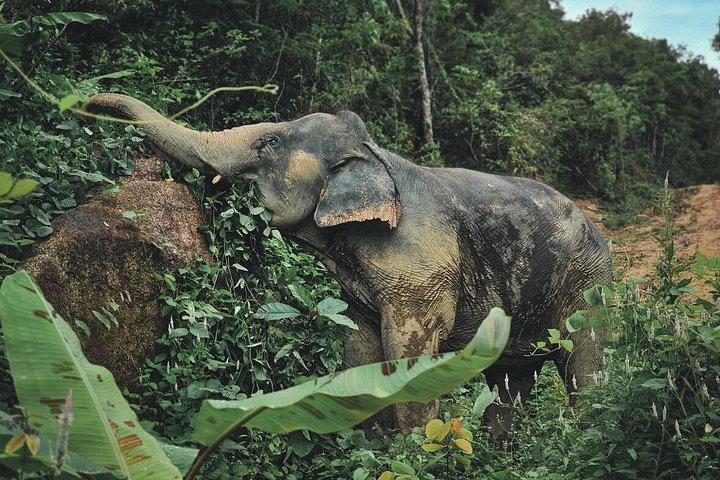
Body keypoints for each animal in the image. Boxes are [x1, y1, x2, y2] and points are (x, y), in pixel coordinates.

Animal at [85, 94, 613, 434]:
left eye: (268, 145)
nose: (88, 100)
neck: (374, 155)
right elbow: (359, 347)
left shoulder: (421, 265)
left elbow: (410, 351)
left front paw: (415, 453)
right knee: (509, 382)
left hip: (588, 285)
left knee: (585, 366)